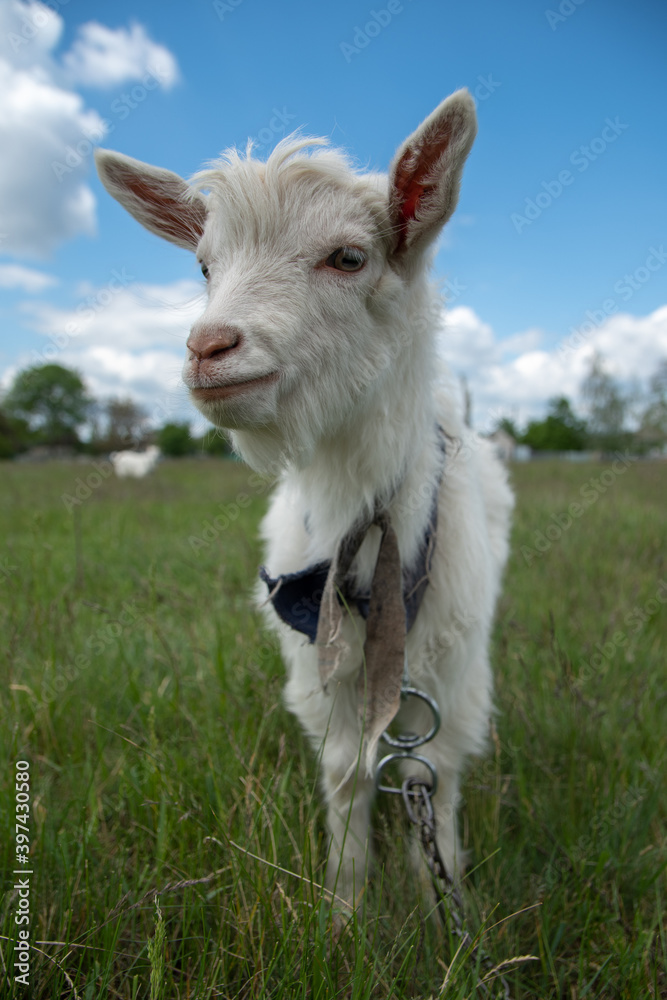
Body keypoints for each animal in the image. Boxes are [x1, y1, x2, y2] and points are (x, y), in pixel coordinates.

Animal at [95, 89, 514, 905]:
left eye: (348, 256)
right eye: (204, 265)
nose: (208, 349)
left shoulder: (453, 670)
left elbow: (435, 772)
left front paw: (442, 904)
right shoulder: (319, 669)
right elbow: (347, 772)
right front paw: (343, 907)